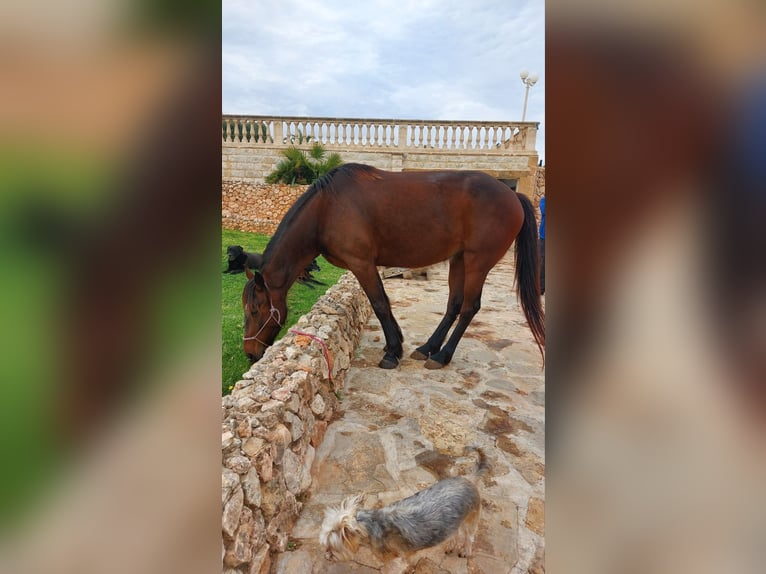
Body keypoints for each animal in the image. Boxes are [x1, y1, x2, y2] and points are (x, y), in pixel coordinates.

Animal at [242, 163, 544, 369]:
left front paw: (392, 352)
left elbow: (379, 304)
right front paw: (396, 344)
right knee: (454, 305)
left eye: (255, 310)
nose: (250, 352)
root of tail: (513, 196)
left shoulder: (361, 263)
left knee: (470, 308)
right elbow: (384, 302)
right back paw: (429, 347)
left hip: (477, 262)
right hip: (459, 260)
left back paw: (443, 356)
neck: (326, 209)